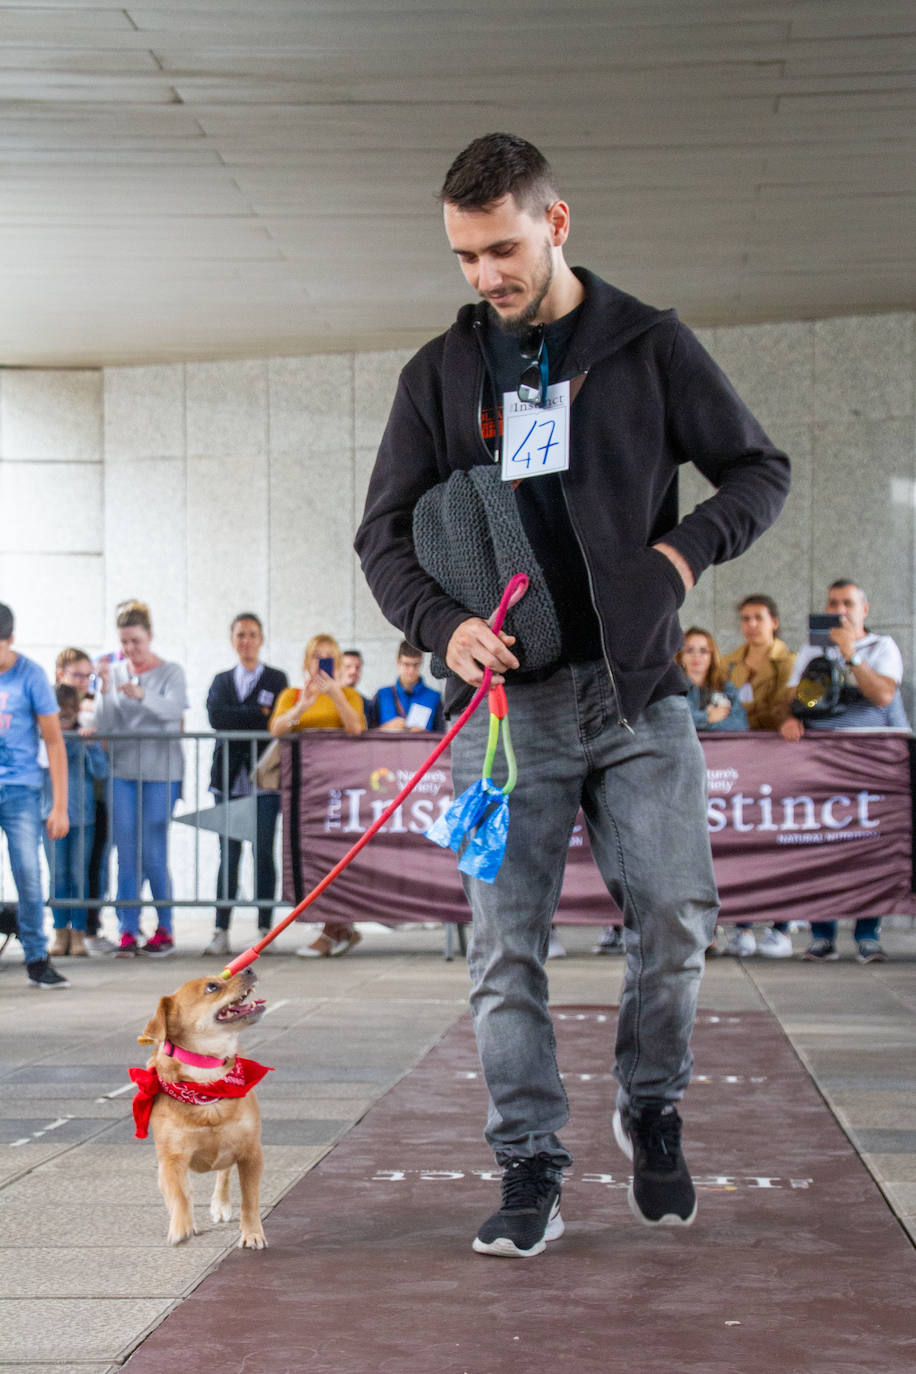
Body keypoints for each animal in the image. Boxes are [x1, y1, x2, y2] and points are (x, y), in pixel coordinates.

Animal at [131, 972, 271, 1253]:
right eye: (212, 987)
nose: (249, 970)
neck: (207, 1081)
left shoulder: (250, 1153)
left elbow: (249, 1199)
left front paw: (252, 1233)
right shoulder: (171, 1160)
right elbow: (179, 1194)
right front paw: (181, 1226)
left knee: (223, 1173)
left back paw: (221, 1204)